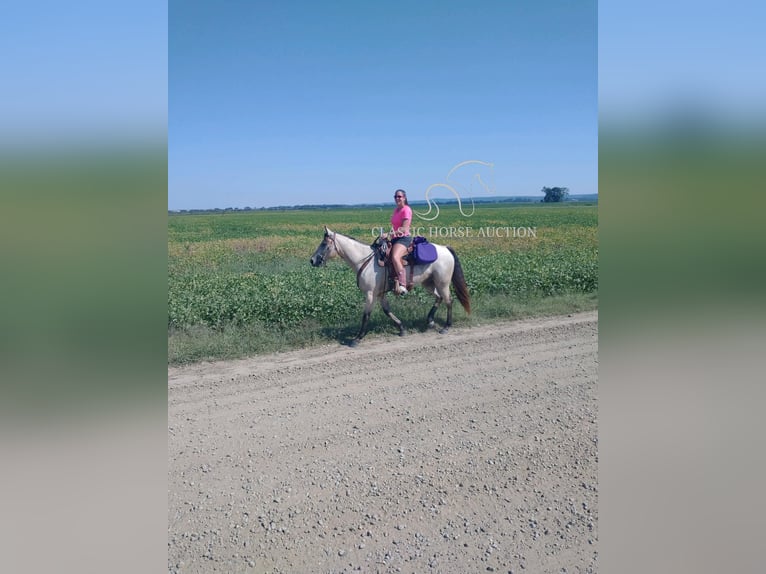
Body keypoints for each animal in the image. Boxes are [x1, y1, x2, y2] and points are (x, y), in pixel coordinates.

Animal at [310, 227, 468, 348]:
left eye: (324, 244)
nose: (312, 260)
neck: (364, 260)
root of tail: (445, 248)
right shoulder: (380, 294)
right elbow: (387, 310)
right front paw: (402, 328)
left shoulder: (370, 294)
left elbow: (366, 315)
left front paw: (357, 338)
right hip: (429, 283)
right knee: (439, 297)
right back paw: (430, 321)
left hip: (443, 283)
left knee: (448, 300)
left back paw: (446, 327)